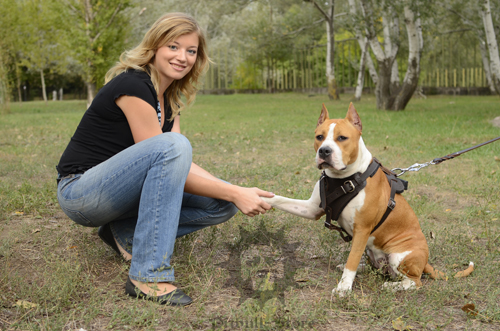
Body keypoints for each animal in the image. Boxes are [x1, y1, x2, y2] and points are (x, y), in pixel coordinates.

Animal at [264, 102, 474, 296]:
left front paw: (343, 289)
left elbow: (351, 261)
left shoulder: (362, 229)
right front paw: (262, 197)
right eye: (319, 137)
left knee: (415, 281)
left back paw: (392, 286)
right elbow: (280, 199)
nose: (324, 151)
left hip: (398, 256)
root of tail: (426, 262)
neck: (345, 178)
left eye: (342, 138)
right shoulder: (312, 208)